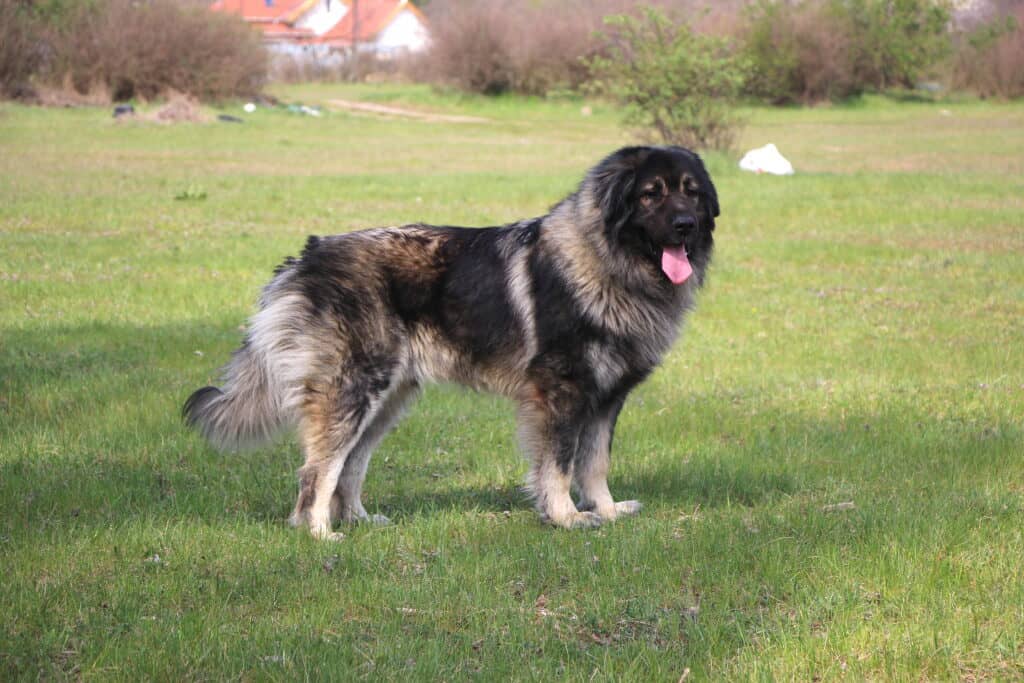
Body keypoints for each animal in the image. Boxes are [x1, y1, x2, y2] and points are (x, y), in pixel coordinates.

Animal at [184, 145, 720, 540]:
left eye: (691, 194)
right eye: (651, 195)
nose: (685, 226)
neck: (607, 263)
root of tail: (305, 258)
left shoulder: (606, 398)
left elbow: (596, 463)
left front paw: (606, 512)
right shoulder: (560, 394)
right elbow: (560, 464)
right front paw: (566, 517)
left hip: (387, 401)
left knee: (351, 465)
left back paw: (358, 522)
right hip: (352, 391)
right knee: (319, 470)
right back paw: (319, 534)